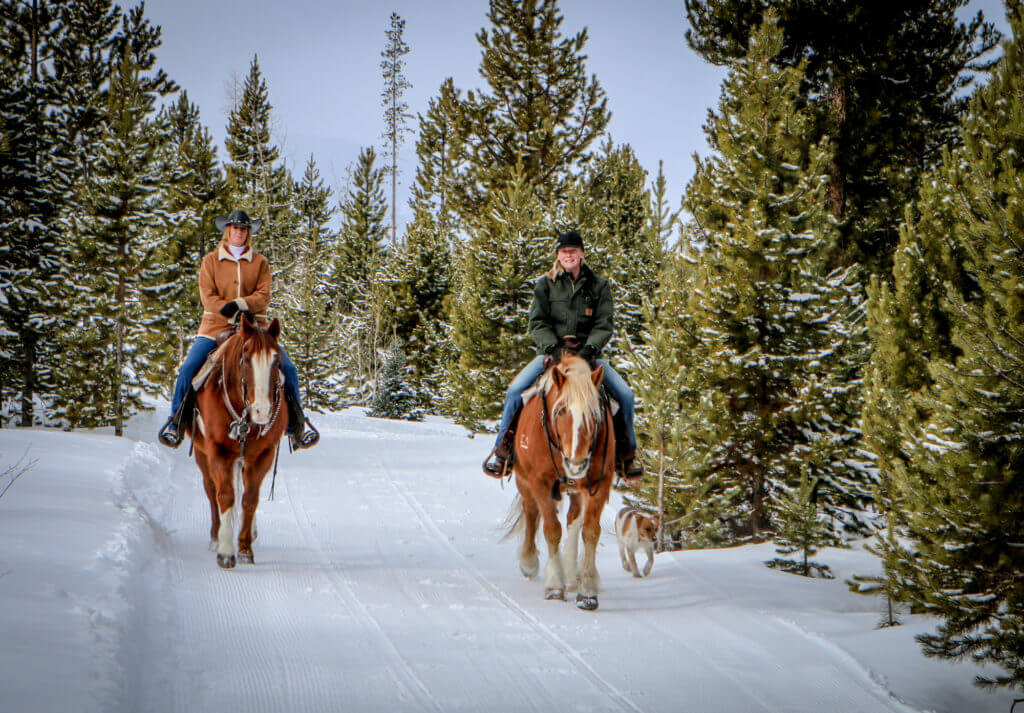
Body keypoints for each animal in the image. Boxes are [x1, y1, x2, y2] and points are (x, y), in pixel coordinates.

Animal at [187, 315, 288, 569]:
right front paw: (225, 551)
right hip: (203, 454)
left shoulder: (263, 454)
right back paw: (215, 536)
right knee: (211, 489)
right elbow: (225, 495)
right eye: (245, 359)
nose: (262, 411)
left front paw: (244, 548)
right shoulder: (218, 451)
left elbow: (250, 498)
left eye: (277, 361)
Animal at [505, 354, 614, 610]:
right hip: (524, 481)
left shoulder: (600, 484)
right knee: (531, 511)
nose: (577, 463)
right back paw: (529, 562)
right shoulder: (540, 483)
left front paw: (587, 590)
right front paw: (555, 585)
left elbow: (590, 532)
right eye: (561, 411)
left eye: (595, 413)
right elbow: (552, 529)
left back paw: (572, 574)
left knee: (574, 519)